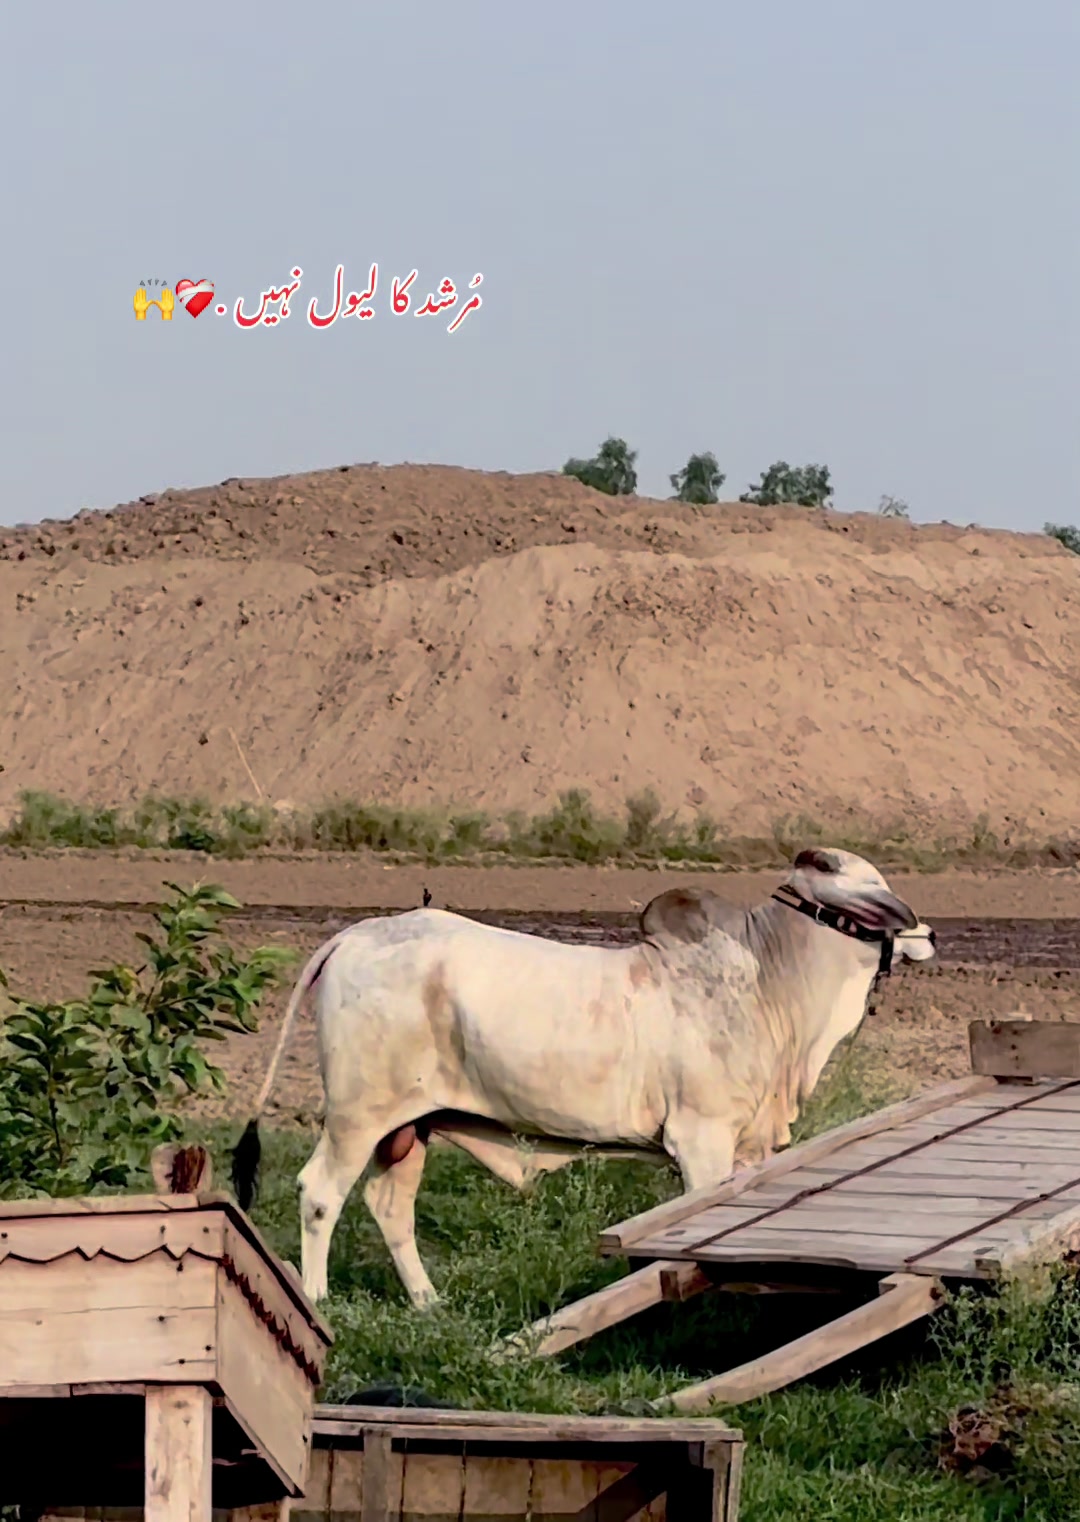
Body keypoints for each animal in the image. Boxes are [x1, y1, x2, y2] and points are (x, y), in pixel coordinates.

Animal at [231, 848, 936, 1307]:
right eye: (872, 882)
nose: (927, 932)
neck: (766, 980)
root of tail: (355, 935)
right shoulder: (701, 1139)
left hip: (410, 1125)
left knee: (388, 1206)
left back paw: (428, 1302)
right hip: (358, 1115)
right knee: (320, 1194)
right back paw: (318, 1300)